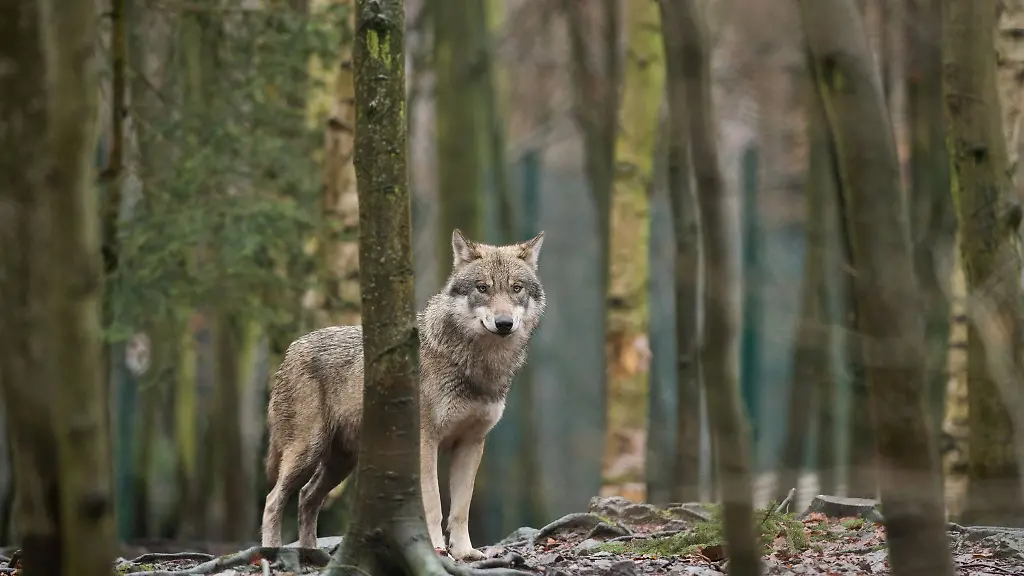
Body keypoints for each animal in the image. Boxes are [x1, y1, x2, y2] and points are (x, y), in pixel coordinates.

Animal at [260, 229, 546, 560]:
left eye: (516, 288)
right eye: (482, 288)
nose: (504, 323)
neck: (476, 365)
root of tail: (291, 349)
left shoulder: (471, 444)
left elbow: (461, 508)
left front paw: (465, 552)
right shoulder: (425, 442)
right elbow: (433, 503)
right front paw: (436, 548)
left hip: (341, 463)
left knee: (307, 497)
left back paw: (311, 554)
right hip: (307, 452)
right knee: (273, 499)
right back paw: (271, 552)